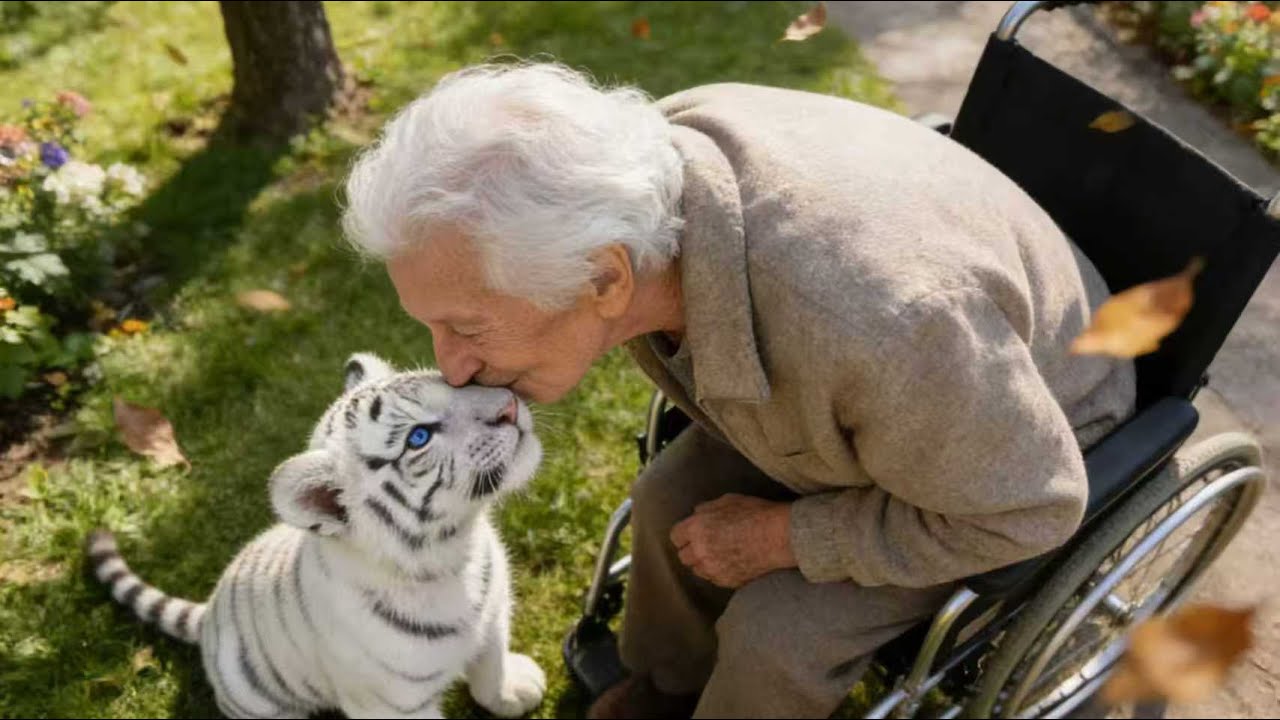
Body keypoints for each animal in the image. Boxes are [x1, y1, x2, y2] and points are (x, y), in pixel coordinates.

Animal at [85, 352, 547, 719]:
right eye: (419, 437)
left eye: (451, 381)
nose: (509, 405)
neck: (451, 553)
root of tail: (209, 615)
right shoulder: (391, 705)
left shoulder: (493, 617)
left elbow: (491, 667)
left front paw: (513, 692)